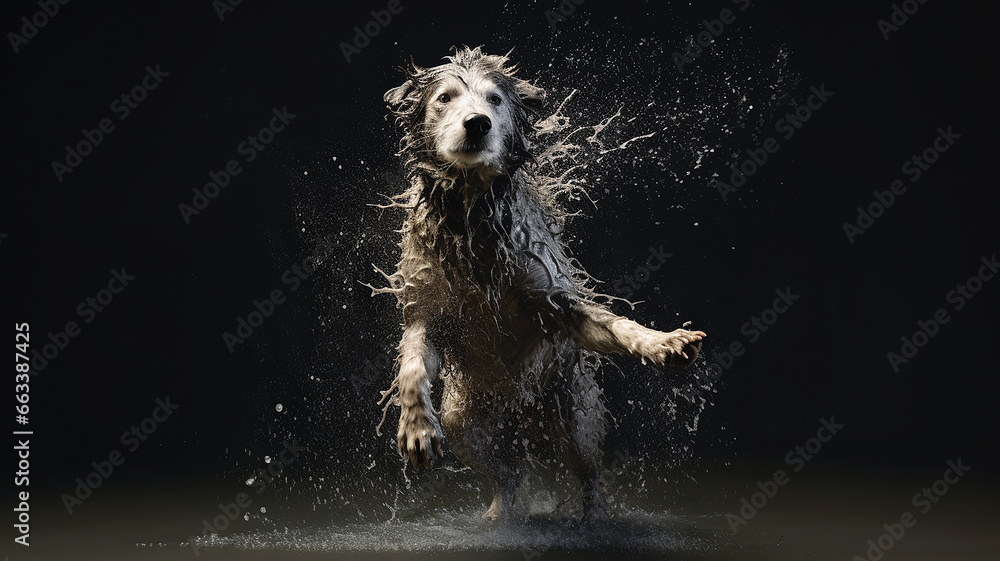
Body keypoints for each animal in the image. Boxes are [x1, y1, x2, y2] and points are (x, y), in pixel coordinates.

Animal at [372, 44, 708, 520]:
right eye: (445, 98)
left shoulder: (555, 302)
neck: (472, 220)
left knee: (589, 478)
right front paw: (416, 426)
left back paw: (593, 520)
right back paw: (499, 516)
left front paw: (662, 343)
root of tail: (520, 414)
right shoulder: (425, 317)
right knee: (509, 474)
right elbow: (413, 370)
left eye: (495, 100)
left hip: (574, 416)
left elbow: (616, 325)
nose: (477, 123)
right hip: (465, 425)